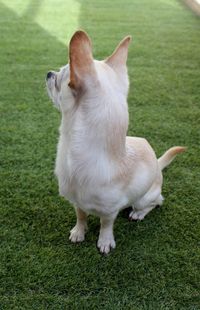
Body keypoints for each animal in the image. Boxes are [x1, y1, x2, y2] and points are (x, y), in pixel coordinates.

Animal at [46, 30, 185, 254]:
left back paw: (138, 213)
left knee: (156, 202)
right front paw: (79, 231)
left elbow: (106, 223)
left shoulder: (110, 210)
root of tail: (157, 163)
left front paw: (104, 240)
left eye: (60, 78)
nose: (49, 73)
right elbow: (80, 214)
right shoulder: (76, 201)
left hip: (144, 198)